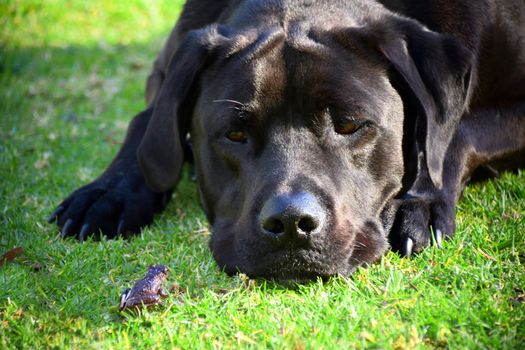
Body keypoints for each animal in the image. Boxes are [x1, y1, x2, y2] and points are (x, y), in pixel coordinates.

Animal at [49, 0, 524, 278]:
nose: (292, 223)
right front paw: (108, 193)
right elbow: (145, 125)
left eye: (350, 125)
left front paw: (419, 203)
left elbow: (456, 132)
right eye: (235, 134)